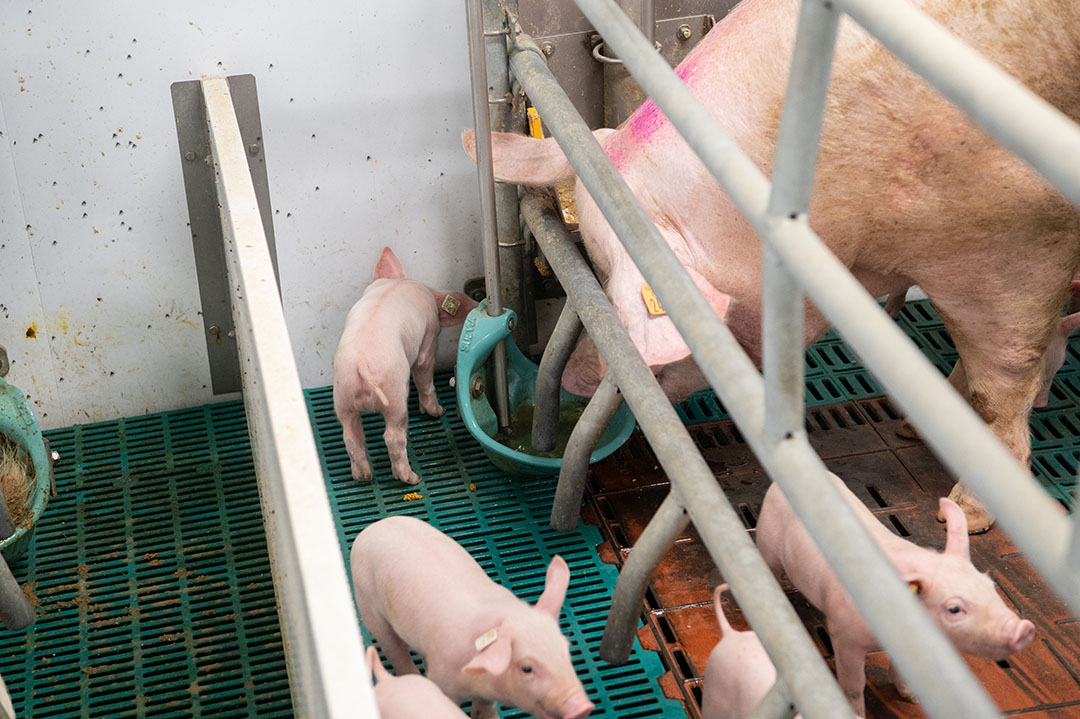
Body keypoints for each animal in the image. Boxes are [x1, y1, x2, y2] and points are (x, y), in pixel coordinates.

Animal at [332, 243, 477, 483]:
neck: (397, 285)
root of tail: (363, 366)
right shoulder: (429, 338)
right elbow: (424, 375)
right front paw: (439, 411)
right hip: (394, 395)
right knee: (393, 436)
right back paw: (411, 478)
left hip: (343, 394)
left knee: (351, 436)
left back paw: (363, 476)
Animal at [349, 516, 596, 716]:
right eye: (527, 668)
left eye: (566, 650)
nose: (583, 706)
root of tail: (371, 528)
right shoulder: (442, 677)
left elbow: (484, 708)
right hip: (367, 602)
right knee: (394, 648)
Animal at [751, 470, 1036, 716]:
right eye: (954, 608)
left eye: (990, 586)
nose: (1024, 628)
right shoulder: (845, 635)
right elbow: (854, 685)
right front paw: (856, 715)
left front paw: (913, 699)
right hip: (766, 540)